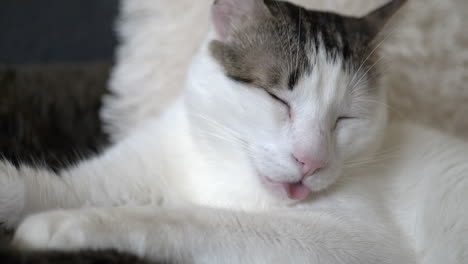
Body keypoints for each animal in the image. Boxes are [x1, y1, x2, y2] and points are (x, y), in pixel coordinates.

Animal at [0, 0, 468, 262]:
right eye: (277, 98)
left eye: (347, 118)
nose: (310, 160)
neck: (224, 177)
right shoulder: (120, 174)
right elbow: (49, 187)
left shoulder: (358, 243)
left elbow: (193, 220)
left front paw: (64, 225)